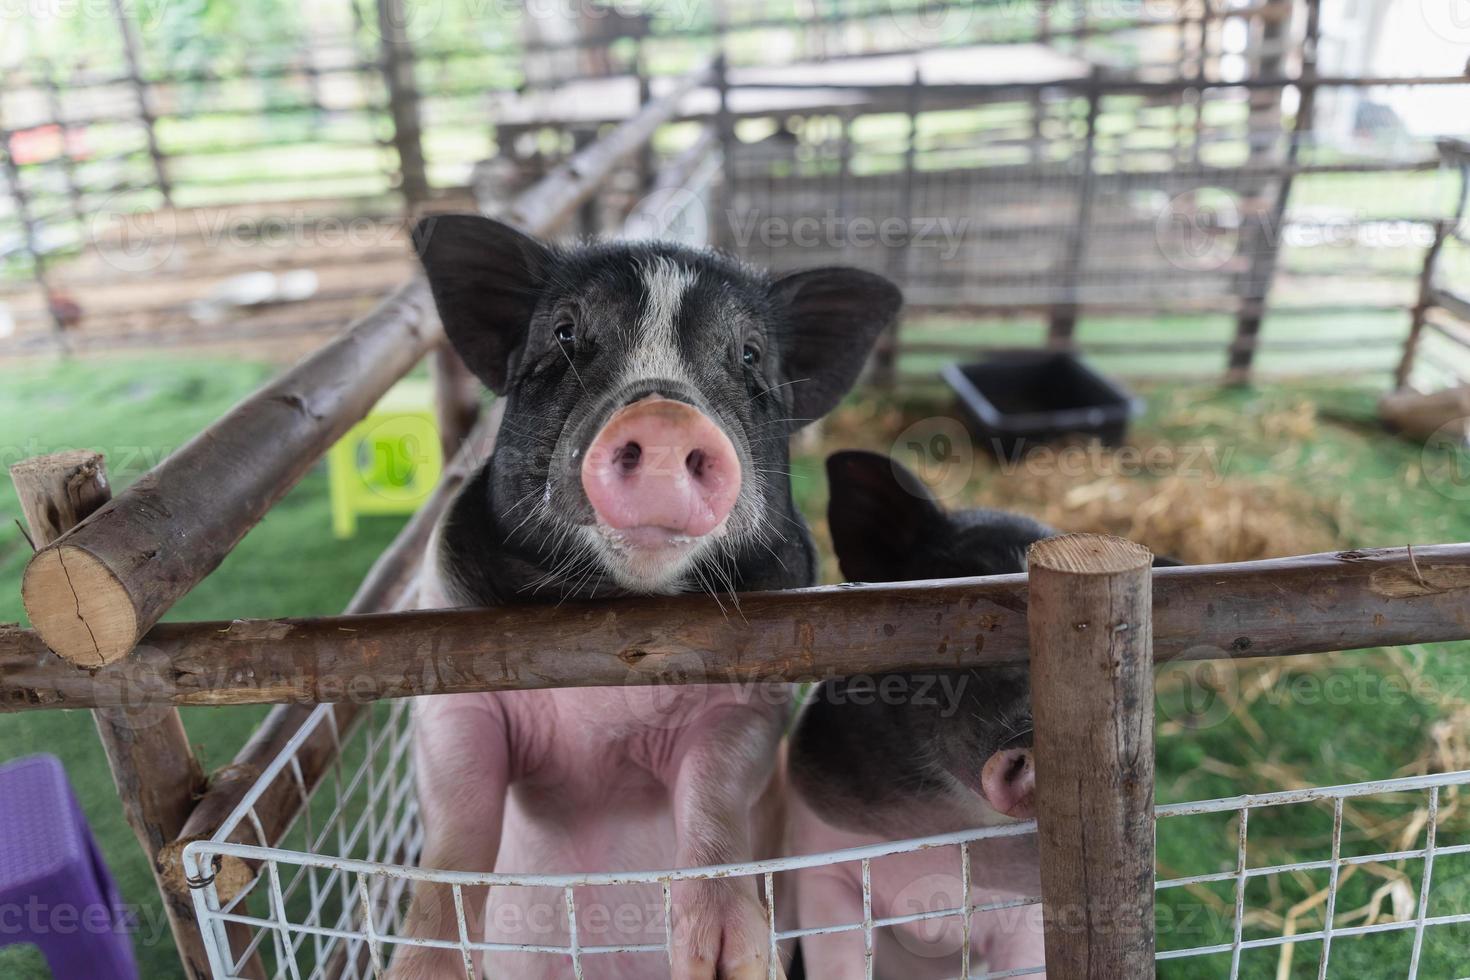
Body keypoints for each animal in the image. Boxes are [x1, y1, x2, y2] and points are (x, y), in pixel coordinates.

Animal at [385, 215, 899, 980]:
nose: (664, 416)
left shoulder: (752, 699)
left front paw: (728, 963)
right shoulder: (448, 688)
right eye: (566, 332)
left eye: (749, 353)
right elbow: (456, 829)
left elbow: (715, 795)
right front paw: (419, 972)